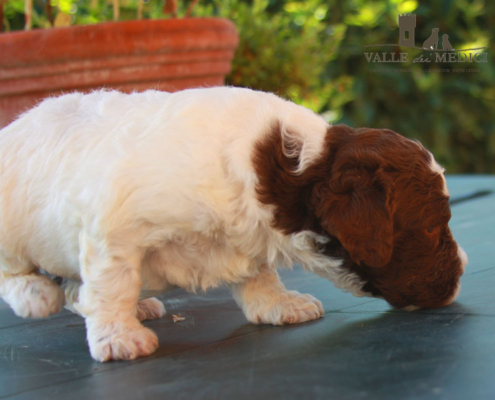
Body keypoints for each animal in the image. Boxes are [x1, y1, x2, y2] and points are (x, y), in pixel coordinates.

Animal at [0, 88, 464, 362]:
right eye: (432, 228)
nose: (462, 271)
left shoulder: (246, 233)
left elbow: (259, 271)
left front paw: (278, 304)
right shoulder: (115, 230)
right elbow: (113, 283)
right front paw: (118, 336)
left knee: (77, 288)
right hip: (12, 225)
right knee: (20, 274)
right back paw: (36, 294)